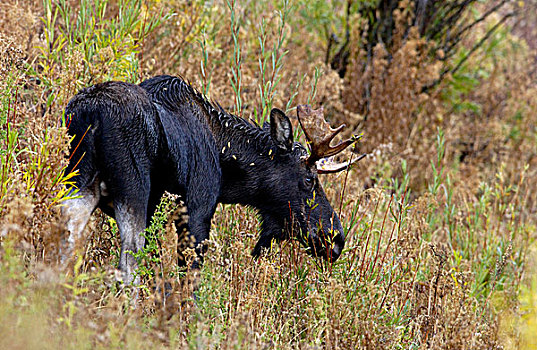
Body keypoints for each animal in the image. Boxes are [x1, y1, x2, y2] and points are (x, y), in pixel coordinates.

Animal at [61, 74, 360, 284]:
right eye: (309, 179)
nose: (336, 239)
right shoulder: (198, 207)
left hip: (77, 183)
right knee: (129, 261)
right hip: (132, 191)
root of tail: (91, 115)